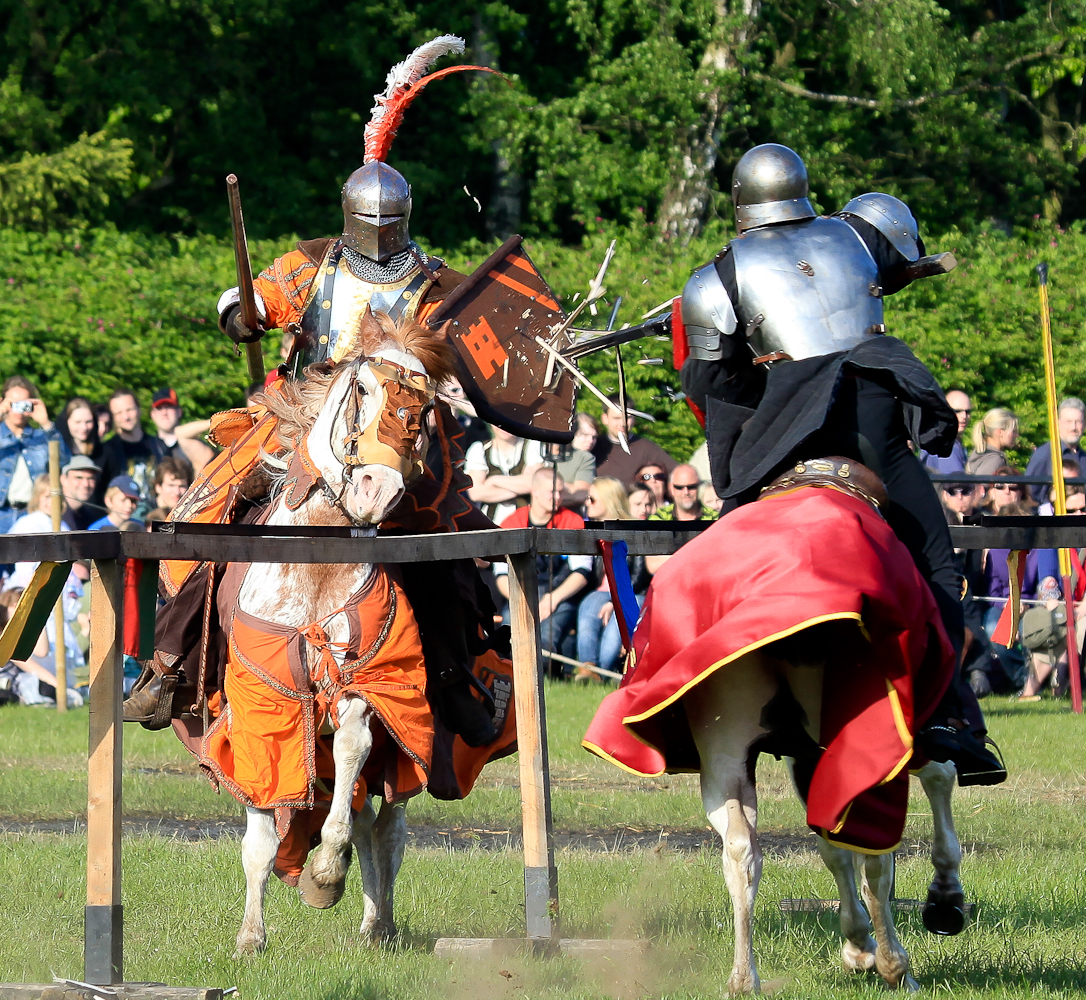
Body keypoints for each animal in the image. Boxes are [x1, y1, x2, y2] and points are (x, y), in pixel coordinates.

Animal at [226, 310, 456, 951]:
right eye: (363, 390)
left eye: (425, 410)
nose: (378, 489)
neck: (317, 562)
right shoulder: (264, 701)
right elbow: (262, 827)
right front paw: (251, 937)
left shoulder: (365, 687)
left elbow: (355, 748)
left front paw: (327, 873)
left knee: (384, 829)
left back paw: (378, 923)